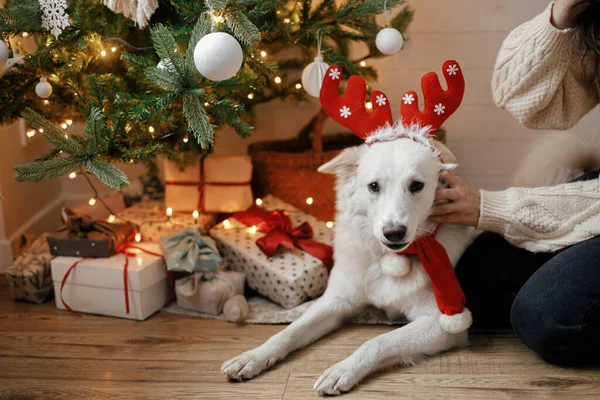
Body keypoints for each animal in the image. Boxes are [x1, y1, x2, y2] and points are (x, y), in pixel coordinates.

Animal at [223, 124, 476, 394]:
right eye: (374, 186)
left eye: (417, 185)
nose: (394, 233)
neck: (386, 258)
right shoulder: (336, 301)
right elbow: (290, 331)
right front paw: (253, 356)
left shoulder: (442, 322)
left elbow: (377, 341)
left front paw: (343, 370)